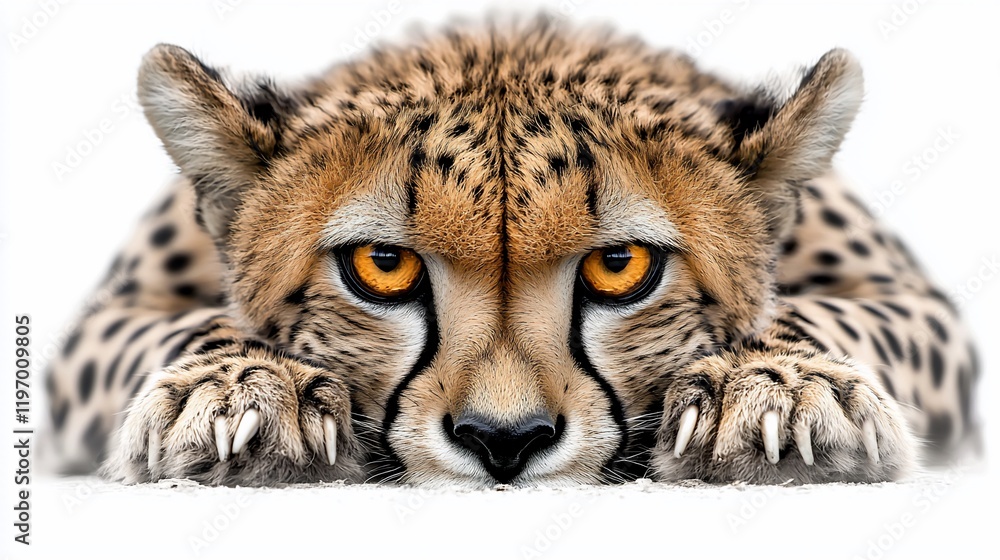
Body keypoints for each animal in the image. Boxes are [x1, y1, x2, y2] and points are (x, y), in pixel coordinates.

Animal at [45, 16, 980, 487]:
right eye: (382, 268)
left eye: (620, 267)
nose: (504, 442)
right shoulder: (101, 324)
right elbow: (181, 329)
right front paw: (240, 393)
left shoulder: (915, 304)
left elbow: (827, 316)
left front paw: (779, 393)